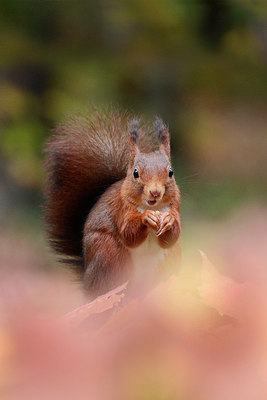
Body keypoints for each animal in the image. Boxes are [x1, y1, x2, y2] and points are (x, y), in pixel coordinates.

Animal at [44, 108, 182, 296]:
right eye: (135, 173)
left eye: (171, 172)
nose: (155, 192)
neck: (150, 206)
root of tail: (88, 283)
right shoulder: (120, 207)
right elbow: (128, 234)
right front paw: (146, 218)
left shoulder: (174, 206)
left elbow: (171, 238)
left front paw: (169, 220)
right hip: (109, 253)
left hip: (170, 261)